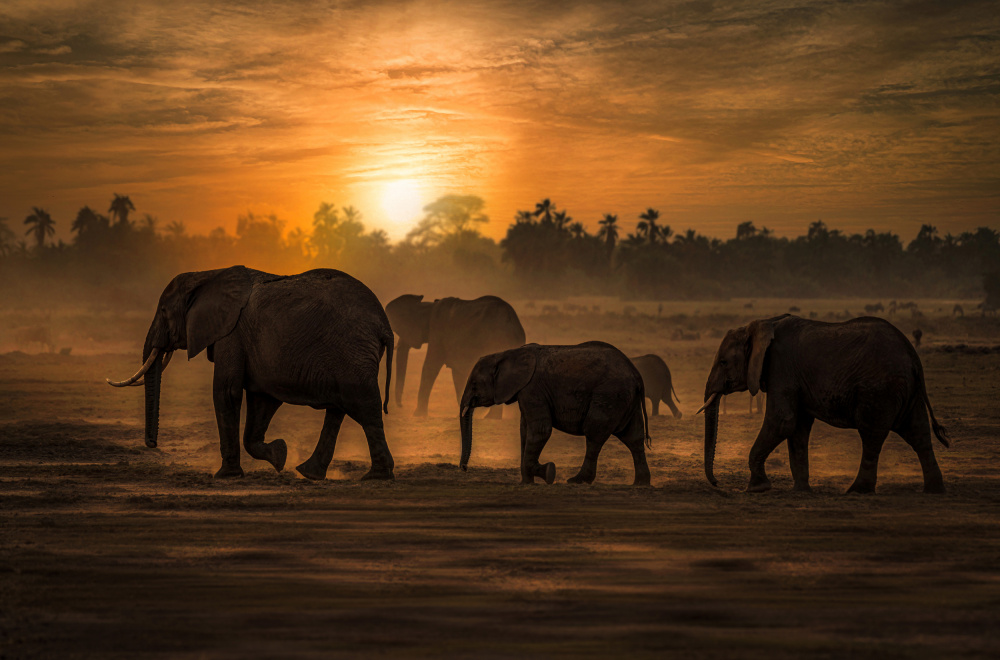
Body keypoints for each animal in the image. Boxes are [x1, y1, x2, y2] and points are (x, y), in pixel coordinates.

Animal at [106, 266, 395, 481]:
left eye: (164, 312)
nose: (151, 444)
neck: (207, 275)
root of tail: (385, 326)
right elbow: (261, 401)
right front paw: (279, 455)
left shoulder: (231, 333)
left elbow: (226, 392)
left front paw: (226, 476)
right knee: (338, 409)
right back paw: (310, 473)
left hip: (352, 352)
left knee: (365, 407)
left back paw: (377, 476)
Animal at [384, 294, 525, 417]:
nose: (401, 406)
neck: (429, 306)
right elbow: (457, 374)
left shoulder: (438, 332)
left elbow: (430, 366)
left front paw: (418, 415)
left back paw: (490, 418)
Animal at [458, 342, 651, 486]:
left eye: (474, 385)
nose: (464, 469)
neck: (506, 354)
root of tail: (636, 374)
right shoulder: (526, 392)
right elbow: (525, 431)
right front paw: (527, 482)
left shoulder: (532, 389)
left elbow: (540, 430)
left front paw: (548, 472)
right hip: (626, 399)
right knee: (634, 438)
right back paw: (640, 484)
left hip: (609, 395)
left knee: (594, 434)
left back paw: (577, 481)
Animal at [700, 315, 948, 494]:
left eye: (723, 362)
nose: (716, 483)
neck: (764, 324)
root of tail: (912, 355)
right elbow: (797, 429)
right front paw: (801, 491)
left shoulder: (781, 368)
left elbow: (782, 421)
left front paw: (756, 489)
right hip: (906, 390)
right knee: (919, 433)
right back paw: (934, 491)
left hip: (880, 390)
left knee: (872, 436)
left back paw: (857, 491)